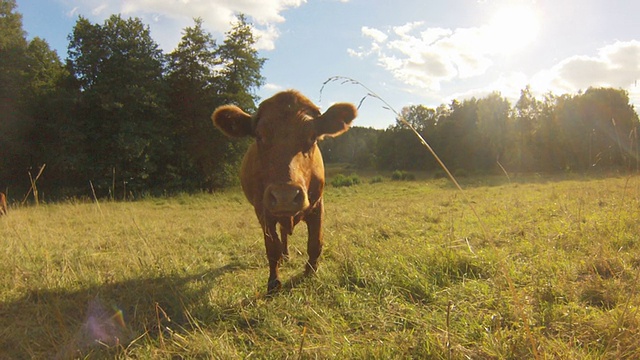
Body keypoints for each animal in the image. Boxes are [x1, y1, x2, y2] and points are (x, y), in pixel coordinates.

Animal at [212, 90, 358, 292]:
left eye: (312, 136)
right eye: (259, 136)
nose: (285, 196)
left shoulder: (318, 205)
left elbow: (315, 243)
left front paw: (310, 273)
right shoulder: (263, 211)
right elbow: (272, 248)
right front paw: (273, 282)